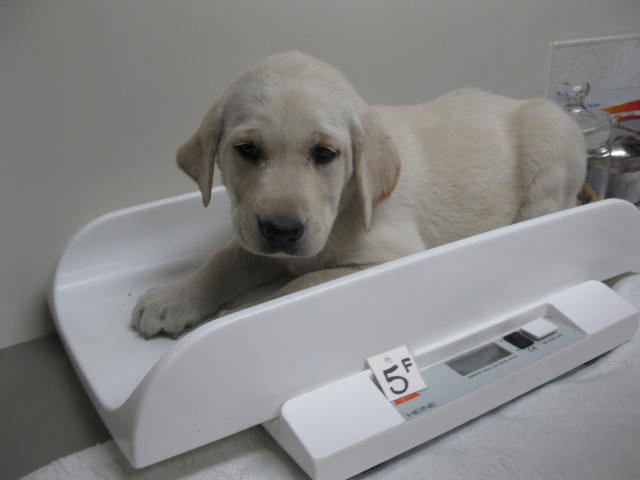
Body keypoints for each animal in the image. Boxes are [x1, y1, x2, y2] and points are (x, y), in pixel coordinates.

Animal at [131, 51, 586, 339]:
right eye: (246, 150)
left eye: (325, 154)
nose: (282, 230)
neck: (345, 206)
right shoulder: (254, 232)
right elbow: (226, 259)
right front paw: (174, 297)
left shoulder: (388, 256)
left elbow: (302, 284)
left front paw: (238, 314)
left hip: (550, 146)